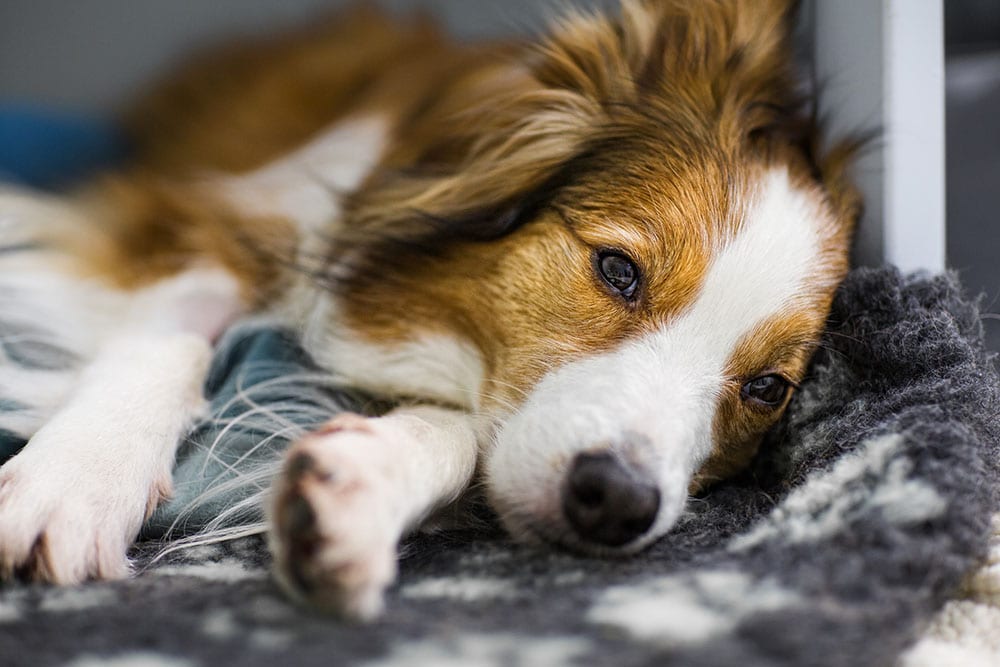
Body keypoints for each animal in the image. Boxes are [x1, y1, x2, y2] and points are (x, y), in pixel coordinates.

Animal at [0, 0, 860, 620]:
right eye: (618, 270)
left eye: (766, 389)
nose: (617, 501)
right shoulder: (203, 218)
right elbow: (175, 332)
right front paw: (79, 478)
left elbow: (467, 437)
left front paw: (362, 486)